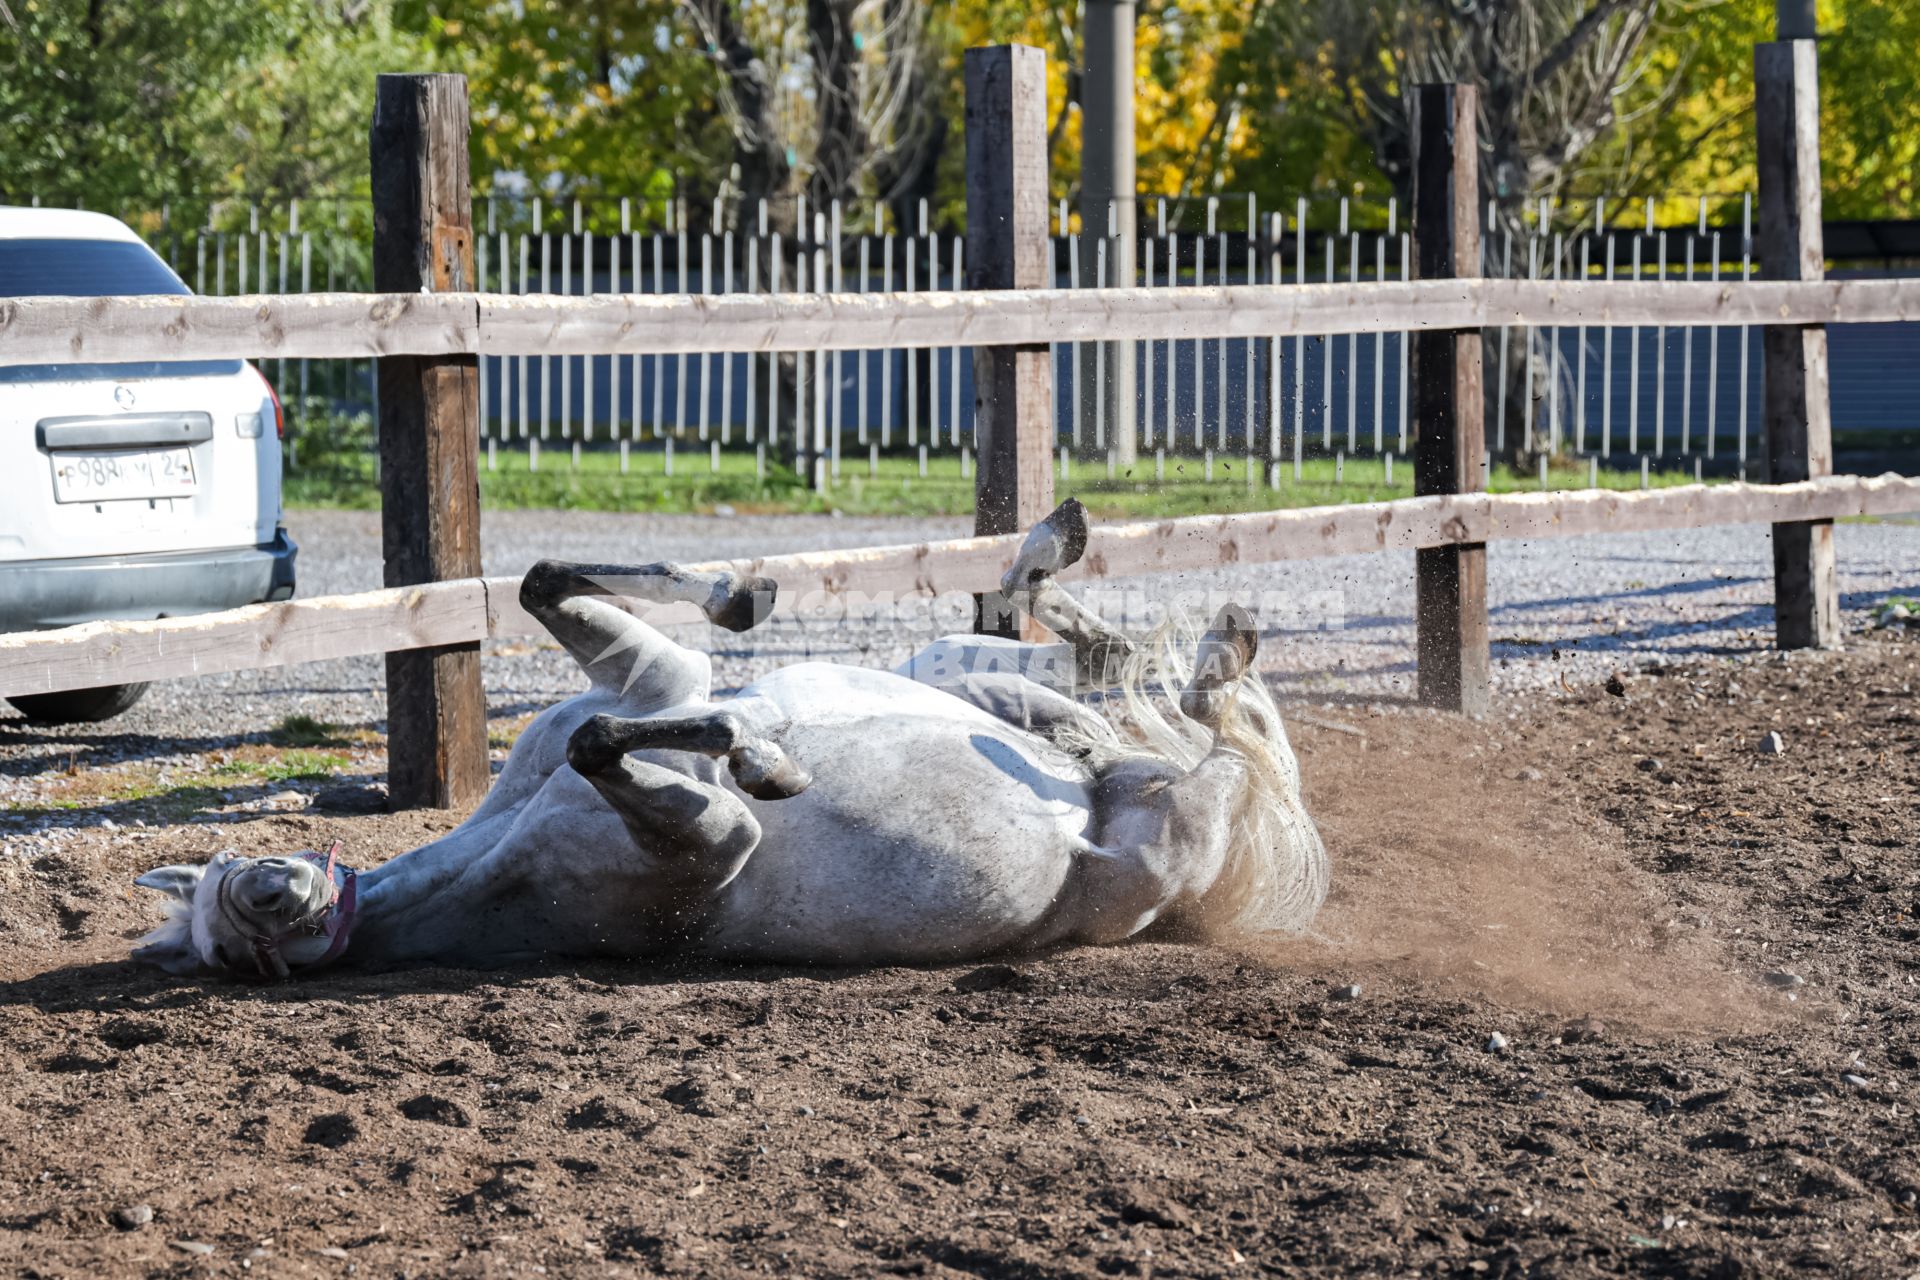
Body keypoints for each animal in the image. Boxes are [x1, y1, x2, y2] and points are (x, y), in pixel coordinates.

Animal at [131, 502, 1320, 982]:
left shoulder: (653, 677)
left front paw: (740, 600)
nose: (279, 887)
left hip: (967, 675)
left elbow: (554, 599)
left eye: (235, 876)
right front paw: (765, 751)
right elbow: (616, 744)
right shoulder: (713, 840)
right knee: (1219, 740)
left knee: (1096, 665)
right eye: (231, 937)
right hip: (1161, 840)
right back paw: (1218, 647)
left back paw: (1071, 558)